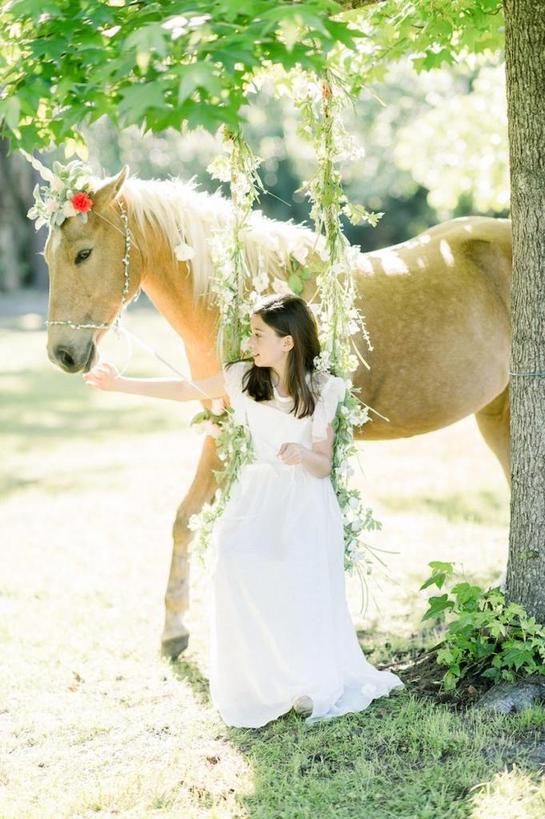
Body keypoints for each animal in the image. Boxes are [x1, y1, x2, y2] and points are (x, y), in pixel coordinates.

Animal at [42, 168, 510, 660]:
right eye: (48, 257)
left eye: (83, 253)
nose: (62, 354)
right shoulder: (221, 428)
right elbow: (185, 519)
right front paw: (174, 630)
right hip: (496, 413)